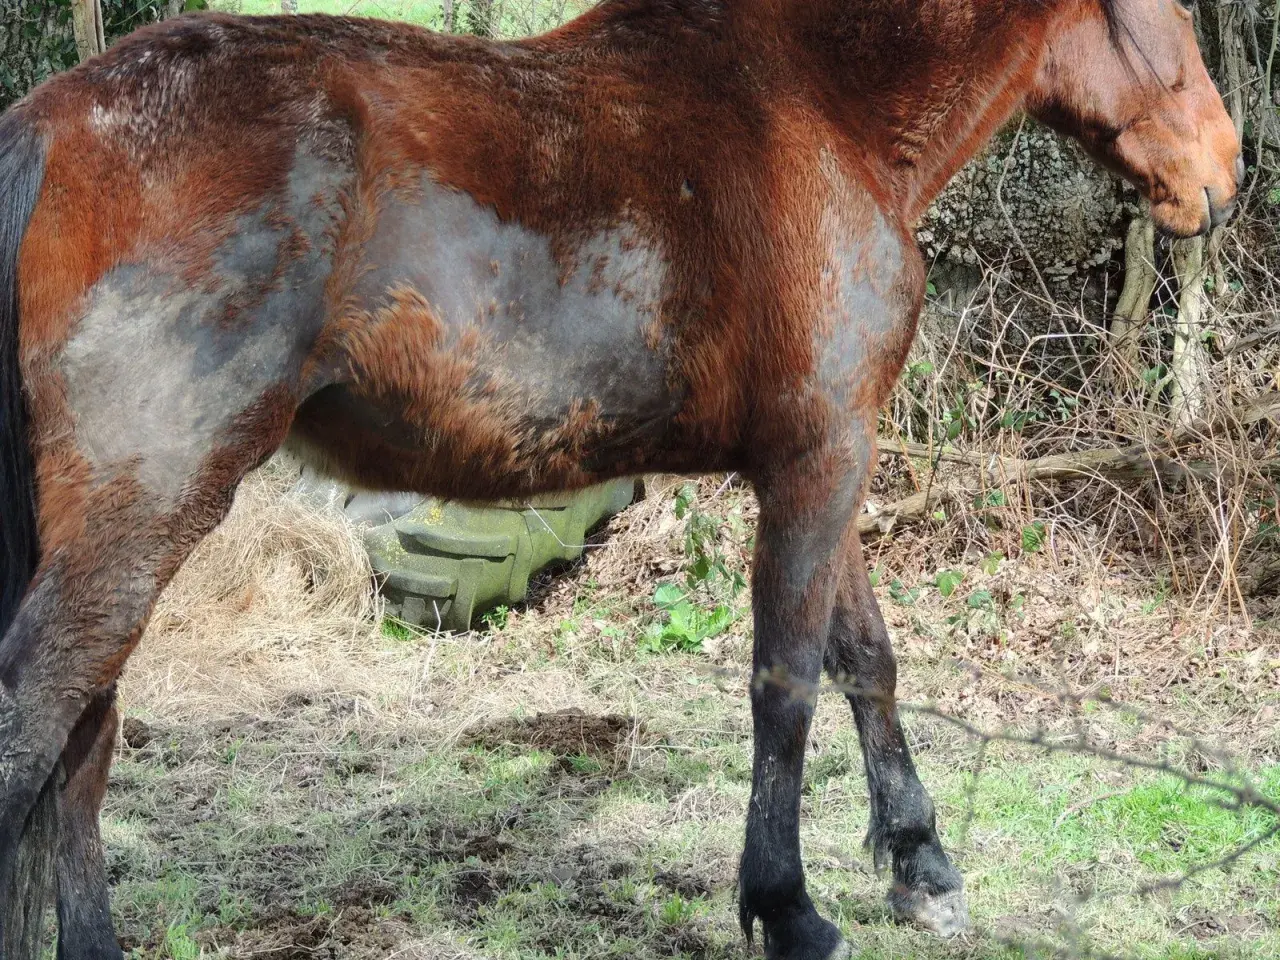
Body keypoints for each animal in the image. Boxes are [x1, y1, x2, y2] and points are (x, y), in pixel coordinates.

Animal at [0, 0, 1240, 956]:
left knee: (82, 747)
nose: (1224, 166)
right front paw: (787, 909)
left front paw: (919, 866)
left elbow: (864, 658)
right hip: (148, 506)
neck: (819, 111)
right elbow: (786, 681)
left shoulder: (823, 453)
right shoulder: (819, 458)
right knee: (40, 720)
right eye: (1171, 8)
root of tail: (51, 123)